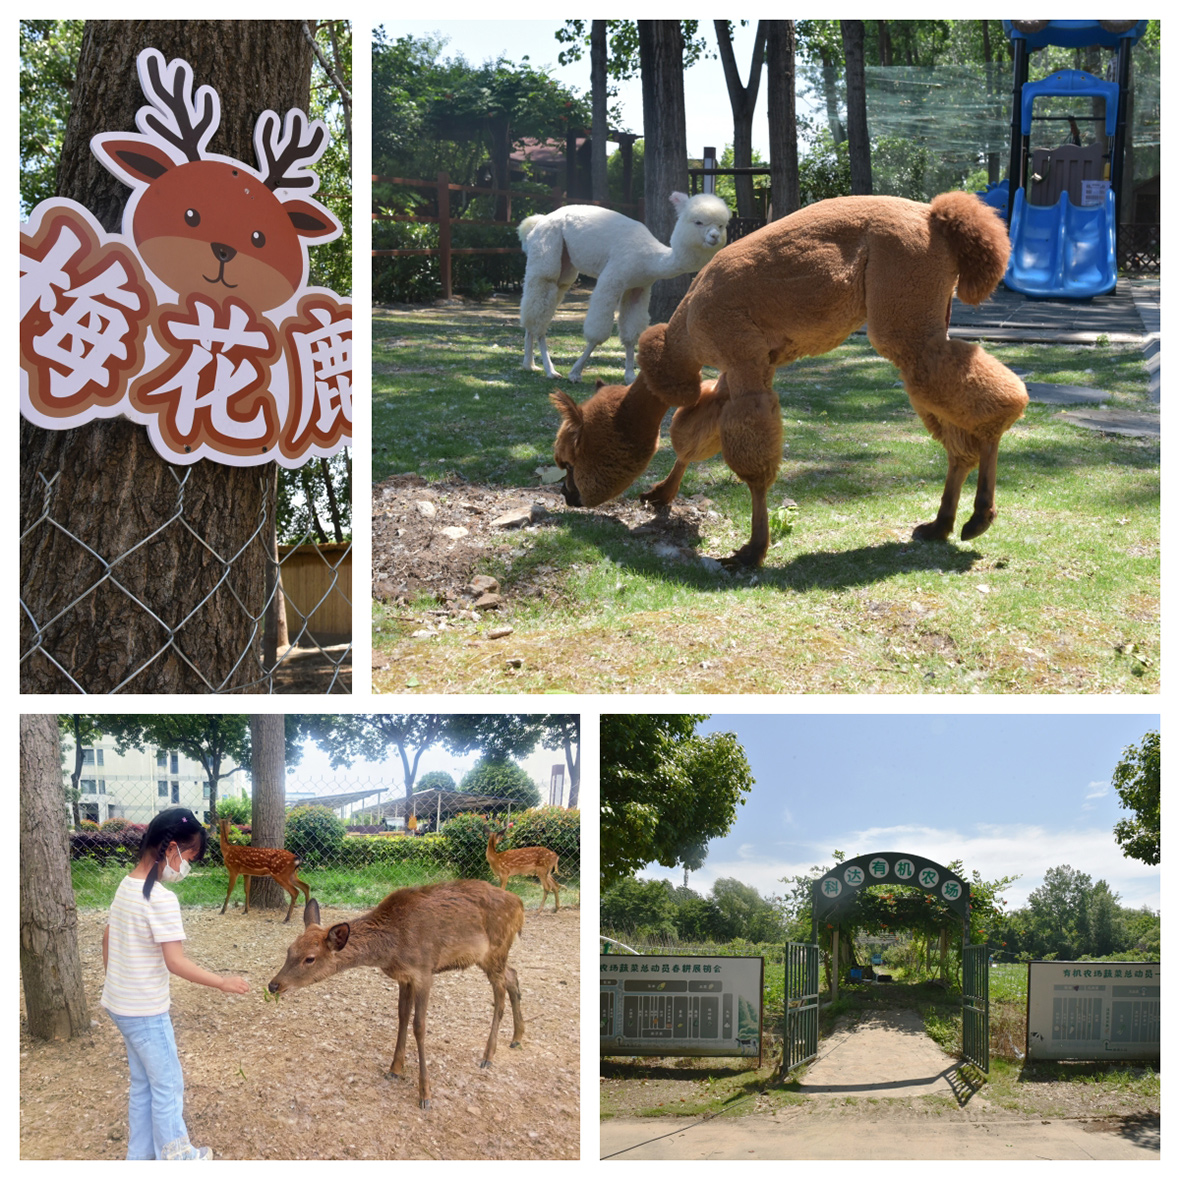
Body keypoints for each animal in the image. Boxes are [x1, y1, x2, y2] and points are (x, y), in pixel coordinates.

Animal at [270, 882, 528, 1109]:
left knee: (500, 992)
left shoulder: (424, 972)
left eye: (310, 958)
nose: (274, 985)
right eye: (289, 950)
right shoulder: (405, 977)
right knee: (513, 975)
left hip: (496, 950)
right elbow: (402, 1017)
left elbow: (419, 1026)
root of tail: (520, 904)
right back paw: (516, 1037)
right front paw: (394, 1069)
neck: (391, 949)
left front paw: (425, 1095)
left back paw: (488, 1055)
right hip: (490, 957)